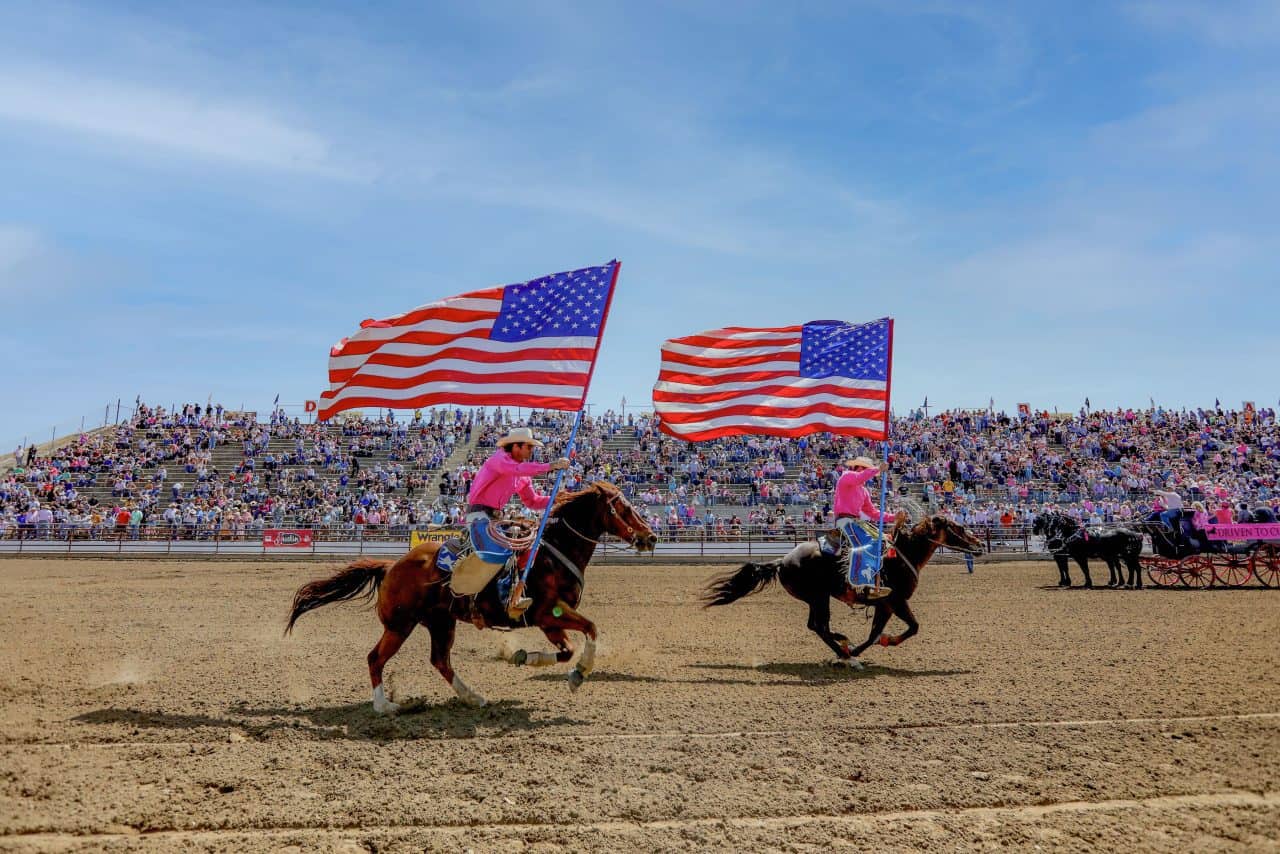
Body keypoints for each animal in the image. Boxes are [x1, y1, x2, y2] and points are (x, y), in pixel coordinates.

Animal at [286, 483, 655, 711]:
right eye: (623, 507)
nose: (650, 537)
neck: (553, 550)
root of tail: (391, 565)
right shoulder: (549, 612)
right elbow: (590, 629)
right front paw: (579, 674)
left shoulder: (548, 621)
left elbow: (565, 651)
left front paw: (525, 657)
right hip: (400, 626)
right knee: (375, 659)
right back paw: (385, 706)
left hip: (440, 623)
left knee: (440, 661)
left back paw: (472, 697)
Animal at [706, 517, 983, 670]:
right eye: (958, 527)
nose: (979, 545)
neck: (903, 556)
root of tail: (782, 560)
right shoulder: (897, 601)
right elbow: (912, 627)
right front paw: (881, 644)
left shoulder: (885, 605)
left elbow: (873, 635)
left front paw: (864, 648)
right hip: (818, 597)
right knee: (819, 626)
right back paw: (844, 653)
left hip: (817, 599)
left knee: (817, 626)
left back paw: (844, 646)